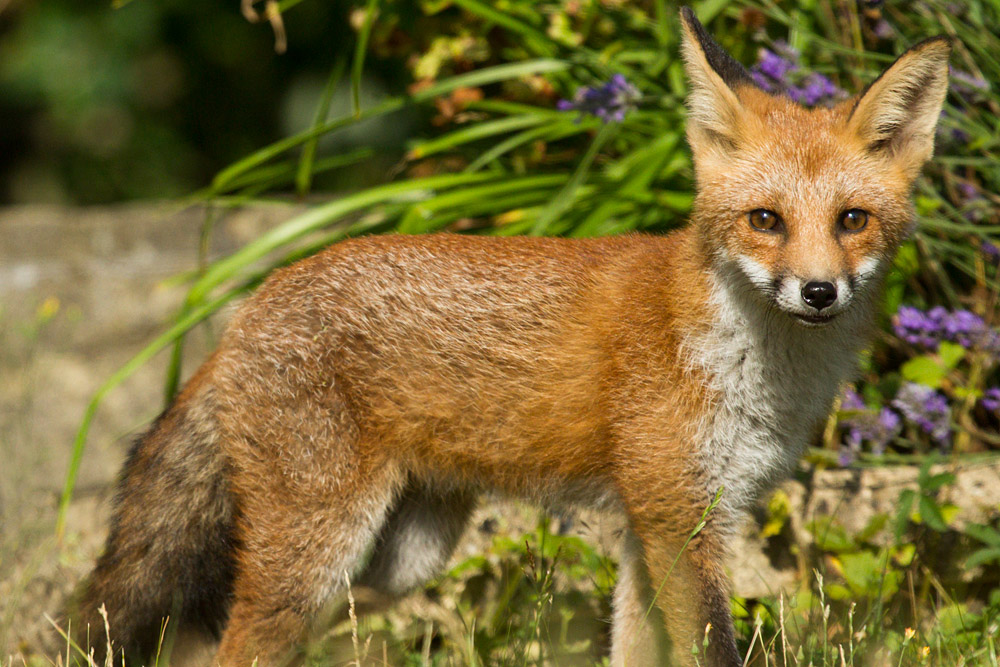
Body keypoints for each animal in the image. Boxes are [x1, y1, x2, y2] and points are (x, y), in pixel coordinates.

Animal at [74, 8, 952, 667]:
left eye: (851, 220)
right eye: (765, 220)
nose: (818, 291)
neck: (750, 368)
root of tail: (249, 304)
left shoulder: (659, 525)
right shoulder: (678, 523)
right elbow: (710, 648)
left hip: (401, 557)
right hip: (315, 554)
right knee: (236, 644)